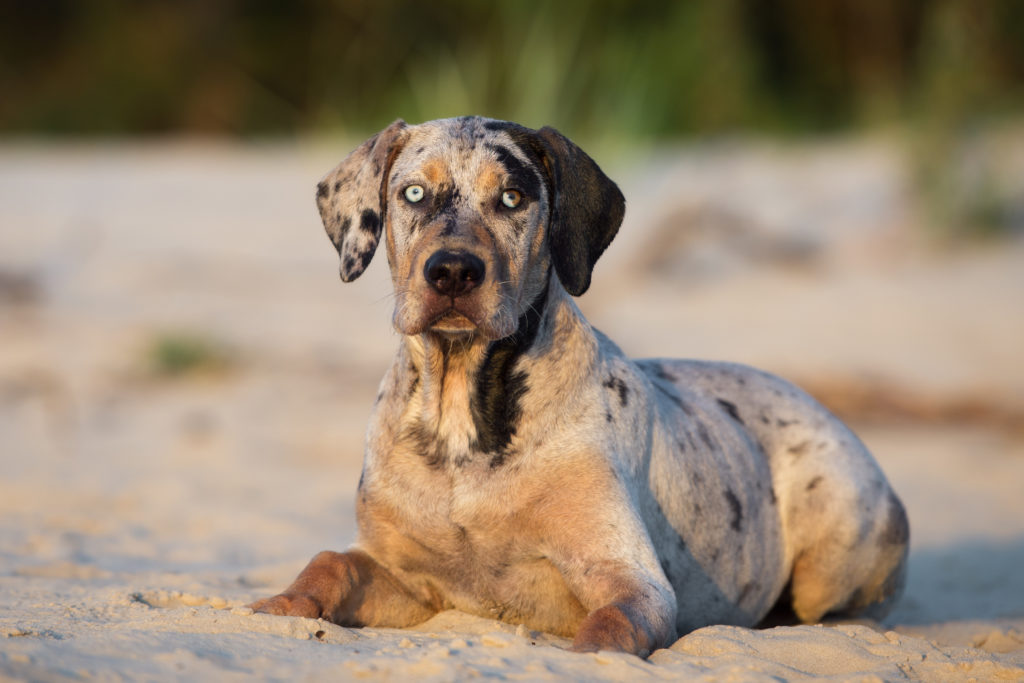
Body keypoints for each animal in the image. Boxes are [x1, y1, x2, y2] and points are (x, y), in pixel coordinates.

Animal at [251, 116, 909, 655]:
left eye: (512, 198)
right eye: (412, 193)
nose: (454, 271)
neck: (463, 420)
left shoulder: (632, 580)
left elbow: (610, 625)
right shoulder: (405, 574)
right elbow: (330, 563)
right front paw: (280, 605)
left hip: (837, 534)